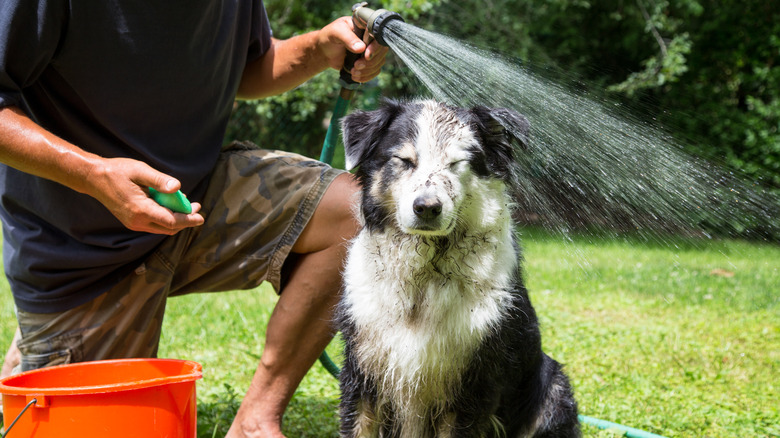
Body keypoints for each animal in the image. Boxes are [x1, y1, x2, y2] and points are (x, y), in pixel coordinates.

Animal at [336, 100, 580, 438]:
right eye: (405, 161)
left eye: (456, 164)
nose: (427, 207)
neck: (425, 274)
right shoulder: (362, 372)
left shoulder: (471, 388)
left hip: (554, 390)